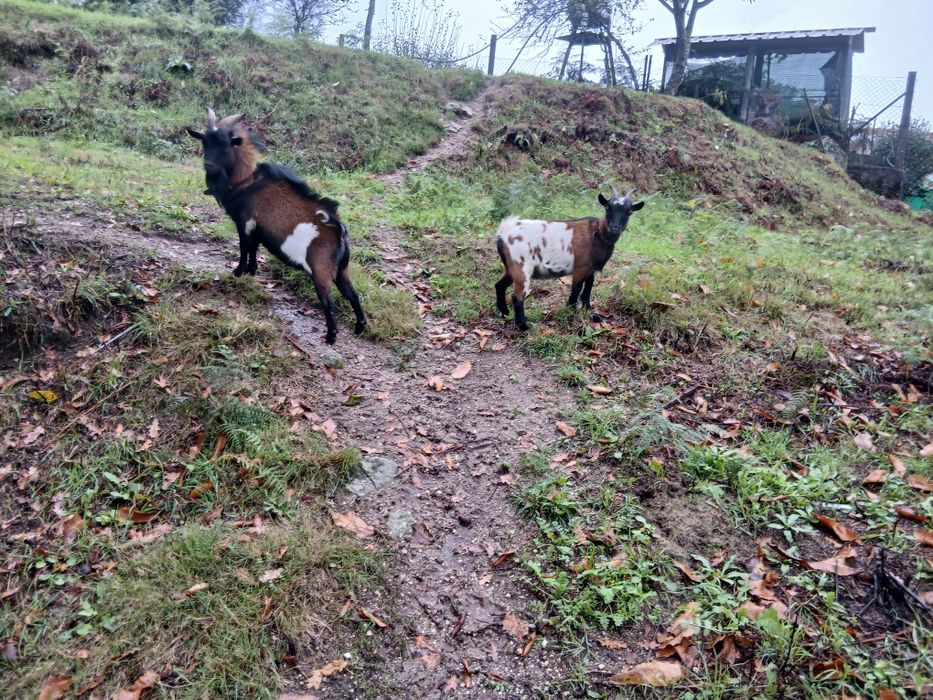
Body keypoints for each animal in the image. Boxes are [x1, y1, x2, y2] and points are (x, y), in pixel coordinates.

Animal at [187, 108, 366, 344]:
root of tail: (338, 228)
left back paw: (330, 337)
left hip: (321, 270)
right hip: (342, 269)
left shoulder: (244, 223)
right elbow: (254, 249)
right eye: (205, 142)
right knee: (353, 294)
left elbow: (244, 248)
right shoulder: (256, 229)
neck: (246, 181)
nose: (209, 166)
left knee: (329, 301)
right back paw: (359, 328)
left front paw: (238, 272)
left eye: (225, 144)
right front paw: (252, 271)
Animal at [495, 185, 644, 330]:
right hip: (521, 266)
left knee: (499, 285)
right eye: (608, 207)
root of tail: (504, 234)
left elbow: (589, 285)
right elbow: (576, 288)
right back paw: (524, 326)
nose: (614, 228)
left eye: (629, 212)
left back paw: (505, 312)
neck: (596, 234)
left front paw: (586, 307)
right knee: (517, 297)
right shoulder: (580, 267)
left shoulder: (590, 269)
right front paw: (570, 310)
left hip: (510, 267)